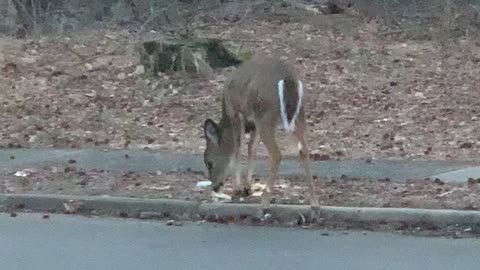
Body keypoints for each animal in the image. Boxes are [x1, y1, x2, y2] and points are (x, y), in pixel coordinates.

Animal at [202, 53, 318, 209]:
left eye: (209, 162)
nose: (215, 186)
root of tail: (288, 80)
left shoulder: (236, 112)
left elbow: (238, 148)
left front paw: (237, 188)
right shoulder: (253, 123)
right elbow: (252, 149)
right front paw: (247, 187)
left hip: (266, 116)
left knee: (276, 154)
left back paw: (264, 202)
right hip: (299, 115)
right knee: (303, 150)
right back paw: (314, 203)